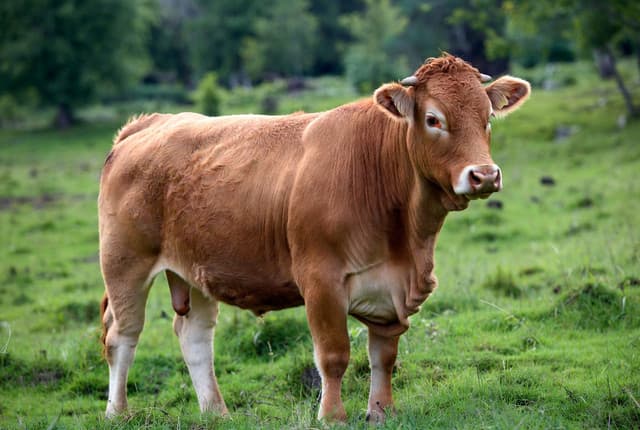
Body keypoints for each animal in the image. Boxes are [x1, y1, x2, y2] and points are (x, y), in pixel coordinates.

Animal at [98, 54, 530, 422]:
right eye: (433, 119)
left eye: (487, 117)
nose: (484, 175)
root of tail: (150, 122)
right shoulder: (321, 281)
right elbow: (334, 355)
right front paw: (332, 415)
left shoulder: (391, 289)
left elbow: (384, 356)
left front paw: (381, 412)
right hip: (125, 264)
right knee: (123, 336)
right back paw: (118, 413)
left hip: (194, 269)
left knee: (195, 337)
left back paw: (217, 413)